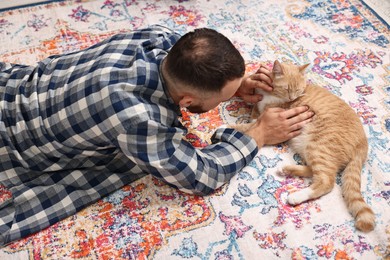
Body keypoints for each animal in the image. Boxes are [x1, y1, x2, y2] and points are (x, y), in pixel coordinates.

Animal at [235, 60, 374, 232]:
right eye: (287, 88)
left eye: (298, 90)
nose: (293, 98)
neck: (272, 95)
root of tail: (363, 144)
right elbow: (254, 113)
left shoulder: (270, 117)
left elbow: (247, 127)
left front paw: (223, 128)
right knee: (315, 171)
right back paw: (287, 169)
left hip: (319, 146)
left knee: (327, 181)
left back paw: (296, 196)